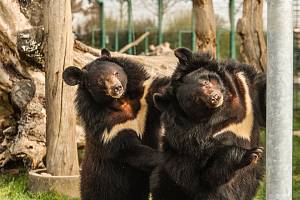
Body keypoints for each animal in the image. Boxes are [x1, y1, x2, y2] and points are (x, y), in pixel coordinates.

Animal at [62, 49, 168, 200]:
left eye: (116, 73)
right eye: (100, 81)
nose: (117, 88)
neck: (120, 102)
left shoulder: (144, 101)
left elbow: (158, 90)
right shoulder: (109, 127)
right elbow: (130, 149)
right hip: (99, 187)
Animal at [151, 48, 266, 200]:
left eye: (205, 82)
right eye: (194, 98)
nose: (214, 97)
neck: (221, 110)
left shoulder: (245, 88)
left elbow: (260, 93)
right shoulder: (190, 139)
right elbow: (210, 168)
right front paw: (252, 153)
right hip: (169, 177)